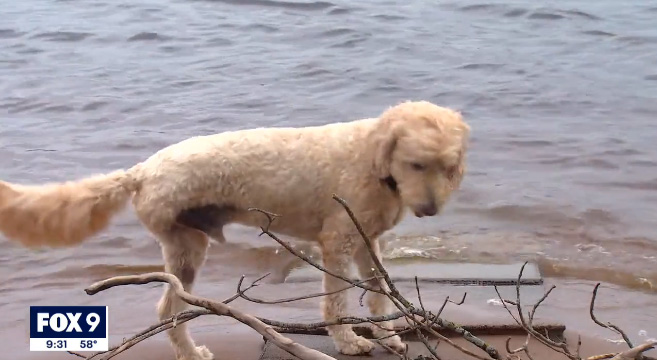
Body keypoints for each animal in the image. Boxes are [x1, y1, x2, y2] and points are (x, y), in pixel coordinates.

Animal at [0, 100, 472, 360]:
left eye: (446, 166)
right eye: (416, 163)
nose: (429, 209)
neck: (373, 159)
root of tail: (141, 171)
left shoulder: (367, 242)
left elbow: (377, 294)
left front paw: (388, 335)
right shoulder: (338, 243)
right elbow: (337, 301)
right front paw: (348, 341)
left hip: (185, 249)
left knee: (168, 311)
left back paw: (190, 354)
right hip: (187, 249)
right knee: (167, 311)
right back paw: (191, 354)